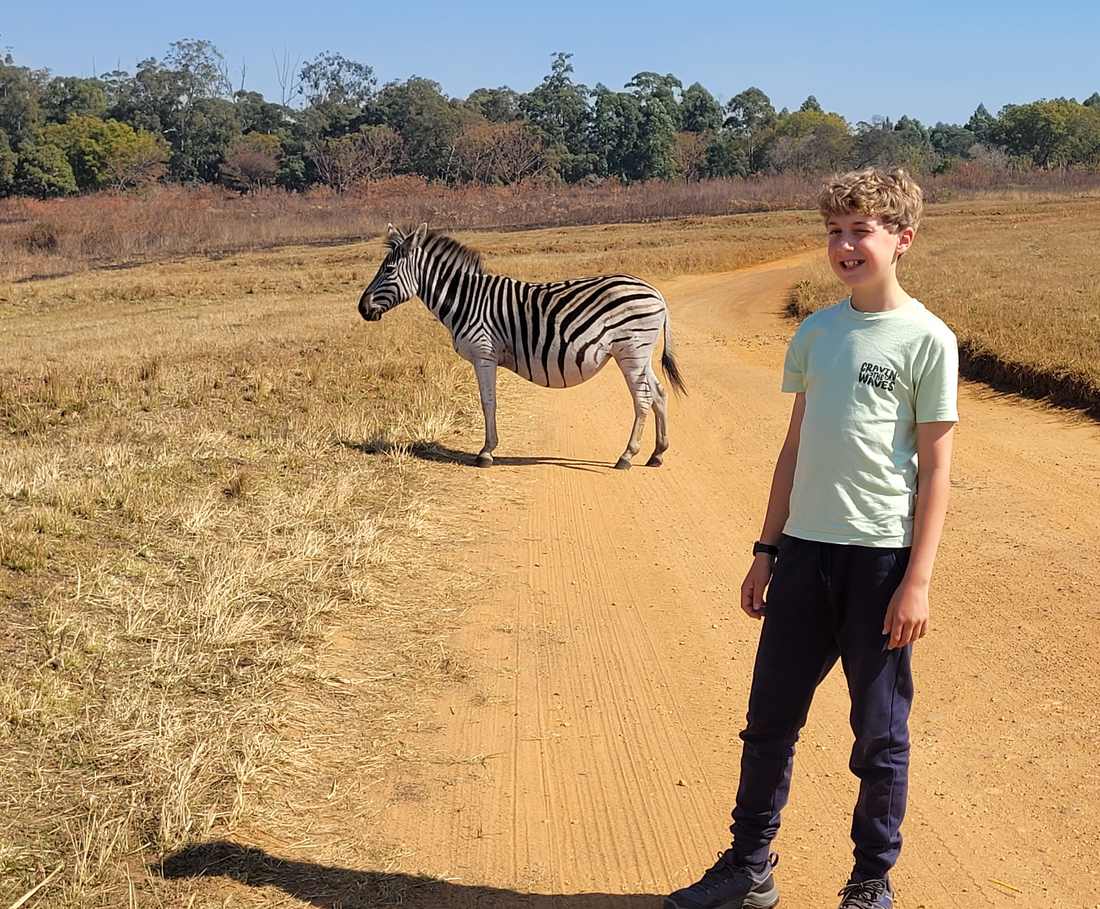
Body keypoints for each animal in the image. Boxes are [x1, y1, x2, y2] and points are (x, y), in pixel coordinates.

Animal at [357, 223, 686, 469]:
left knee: (643, 398)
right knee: (658, 393)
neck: (466, 300)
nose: (362, 308)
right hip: (639, 355)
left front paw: (486, 452)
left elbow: (488, 402)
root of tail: (655, 291)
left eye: (388, 270)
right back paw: (657, 454)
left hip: (631, 351)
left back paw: (627, 456)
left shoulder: (484, 354)